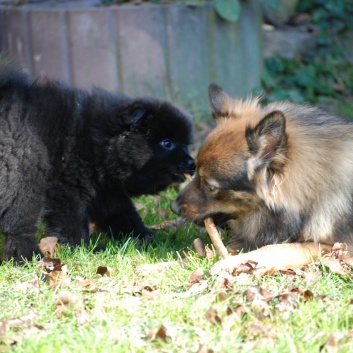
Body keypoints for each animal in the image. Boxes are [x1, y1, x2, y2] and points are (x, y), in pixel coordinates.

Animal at [0, 58, 194, 262]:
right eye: (167, 143)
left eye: (186, 144)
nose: (192, 164)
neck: (98, 141)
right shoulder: (67, 189)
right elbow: (72, 221)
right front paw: (82, 249)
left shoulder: (106, 191)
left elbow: (123, 215)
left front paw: (147, 238)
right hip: (24, 171)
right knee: (18, 225)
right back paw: (29, 257)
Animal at [173, 84, 352, 274]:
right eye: (195, 173)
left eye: (210, 187)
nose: (173, 208)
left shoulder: (331, 246)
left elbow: (275, 249)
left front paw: (230, 263)